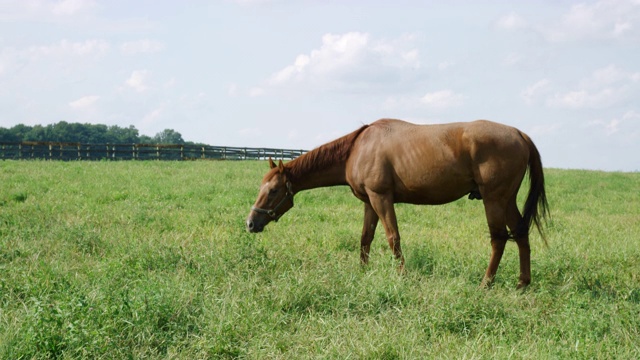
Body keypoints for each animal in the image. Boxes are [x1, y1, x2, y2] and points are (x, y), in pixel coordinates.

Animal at [248, 119, 548, 288]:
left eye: (273, 190)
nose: (250, 223)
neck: (357, 148)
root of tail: (519, 134)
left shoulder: (381, 197)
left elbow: (393, 238)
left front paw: (402, 276)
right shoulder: (369, 202)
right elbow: (366, 238)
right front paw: (363, 272)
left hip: (494, 199)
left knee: (499, 239)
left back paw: (486, 283)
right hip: (507, 200)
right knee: (521, 233)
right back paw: (522, 283)